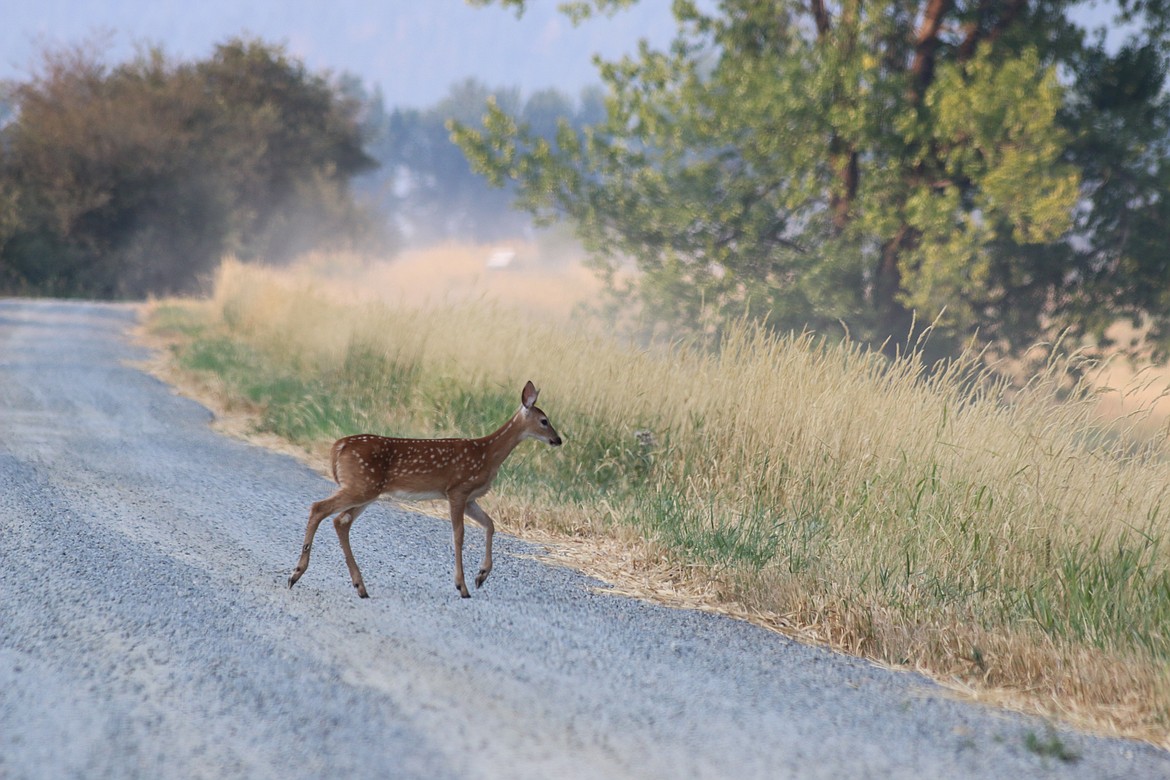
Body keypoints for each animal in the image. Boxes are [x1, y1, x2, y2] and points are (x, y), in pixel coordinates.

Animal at [286, 381, 561, 603]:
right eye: (544, 421)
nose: (558, 440)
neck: (487, 453)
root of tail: (338, 447)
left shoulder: (470, 497)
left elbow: (490, 524)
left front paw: (481, 576)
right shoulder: (457, 489)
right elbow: (459, 535)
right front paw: (462, 586)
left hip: (367, 490)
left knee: (340, 521)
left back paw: (359, 586)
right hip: (360, 486)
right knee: (319, 508)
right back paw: (296, 574)